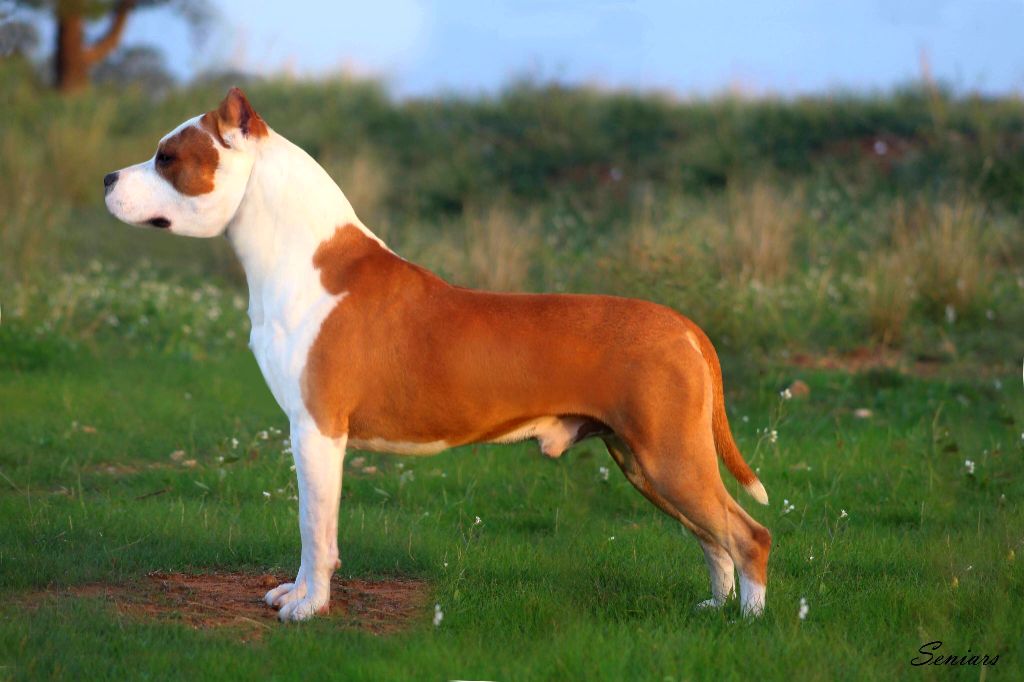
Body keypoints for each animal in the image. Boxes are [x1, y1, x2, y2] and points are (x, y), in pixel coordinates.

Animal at [104, 88, 771, 622]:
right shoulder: (312, 434)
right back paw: (714, 607)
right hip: (644, 460)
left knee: (748, 534)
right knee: (712, 538)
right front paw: (294, 594)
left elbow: (314, 529)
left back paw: (748, 622)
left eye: (168, 158)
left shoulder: (316, 430)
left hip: (670, 456)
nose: (108, 178)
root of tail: (684, 326)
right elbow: (314, 528)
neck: (301, 257)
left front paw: (309, 607)